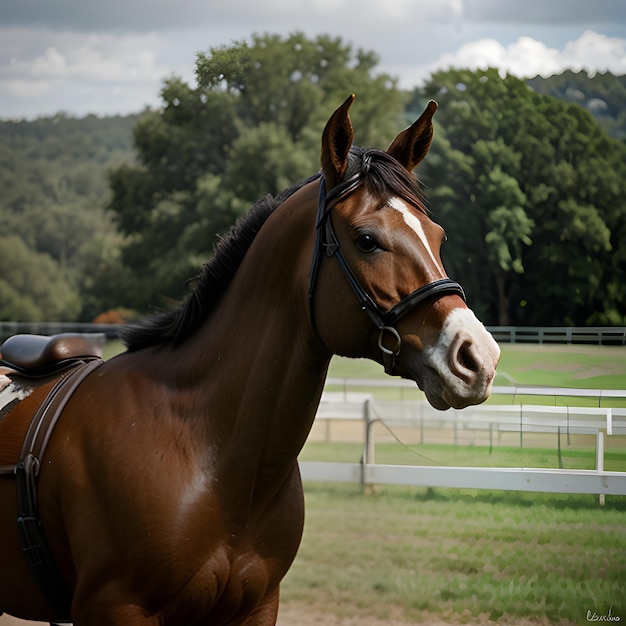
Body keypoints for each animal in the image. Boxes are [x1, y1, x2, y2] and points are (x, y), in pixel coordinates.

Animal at [0, 95, 498, 620]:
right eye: (366, 239)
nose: (478, 356)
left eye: (438, 236)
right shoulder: (115, 608)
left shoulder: (256, 606)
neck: (211, 454)